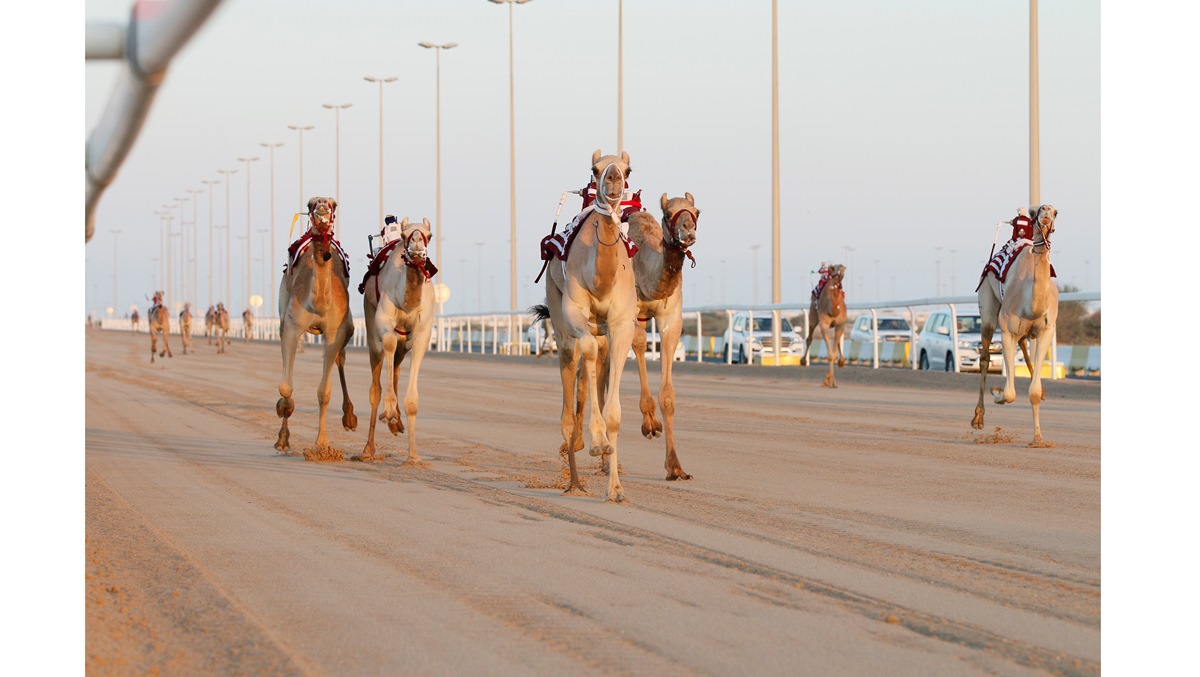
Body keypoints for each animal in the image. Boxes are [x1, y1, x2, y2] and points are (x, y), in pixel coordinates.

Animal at [274, 196, 355, 460]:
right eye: (310, 204)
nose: (321, 206)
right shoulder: (292, 326)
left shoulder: (334, 332)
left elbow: (324, 392)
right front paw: (282, 436)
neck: (317, 304)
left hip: (348, 326)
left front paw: (322, 444)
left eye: (333, 204)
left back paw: (350, 417)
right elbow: (286, 386)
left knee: (341, 357)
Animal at [357, 217, 439, 465]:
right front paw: (389, 412)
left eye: (429, 235)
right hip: (370, 320)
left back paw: (397, 425)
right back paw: (368, 449)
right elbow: (389, 344)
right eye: (404, 236)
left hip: (405, 342)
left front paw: (413, 456)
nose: (417, 250)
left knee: (396, 368)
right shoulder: (384, 322)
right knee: (376, 384)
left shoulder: (422, 333)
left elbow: (412, 401)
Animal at [974, 204, 1060, 446]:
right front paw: (997, 394)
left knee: (1023, 343)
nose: (1046, 213)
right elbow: (1010, 393)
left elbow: (1033, 391)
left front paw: (1038, 438)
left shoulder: (1046, 331)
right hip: (987, 303)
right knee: (984, 357)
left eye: (1056, 212)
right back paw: (978, 418)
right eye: (1036, 211)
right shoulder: (1007, 330)